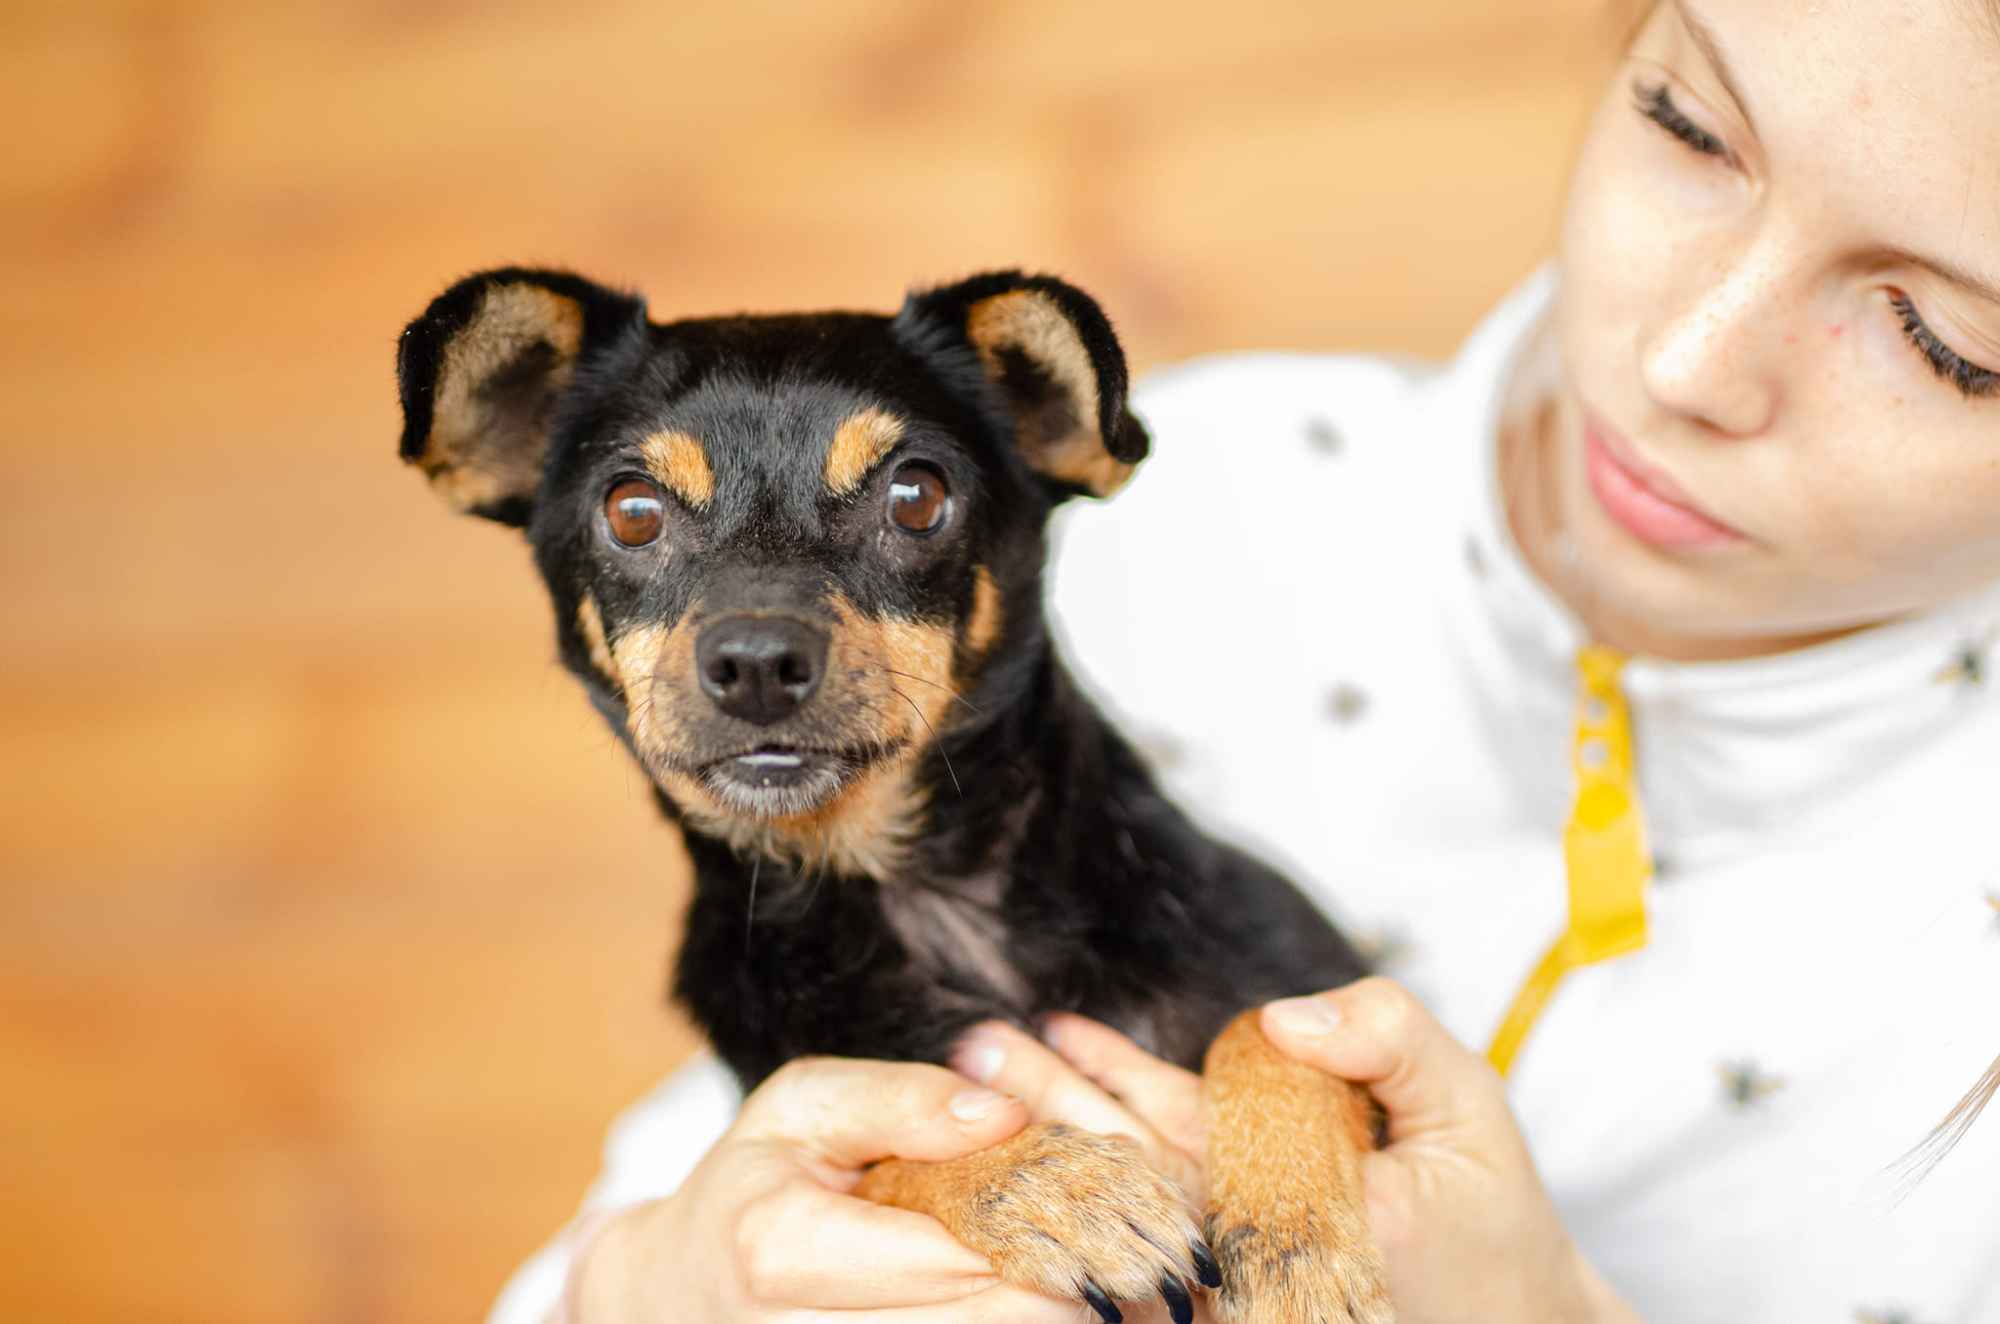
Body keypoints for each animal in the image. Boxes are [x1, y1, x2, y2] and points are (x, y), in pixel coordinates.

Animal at [392, 270, 1392, 1324]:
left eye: (917, 495)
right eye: (631, 511)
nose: (756, 662)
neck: (923, 884)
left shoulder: (1329, 992)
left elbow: (1272, 1034)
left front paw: (1296, 1250)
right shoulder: (806, 1099)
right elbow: (887, 1149)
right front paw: (1052, 1187)